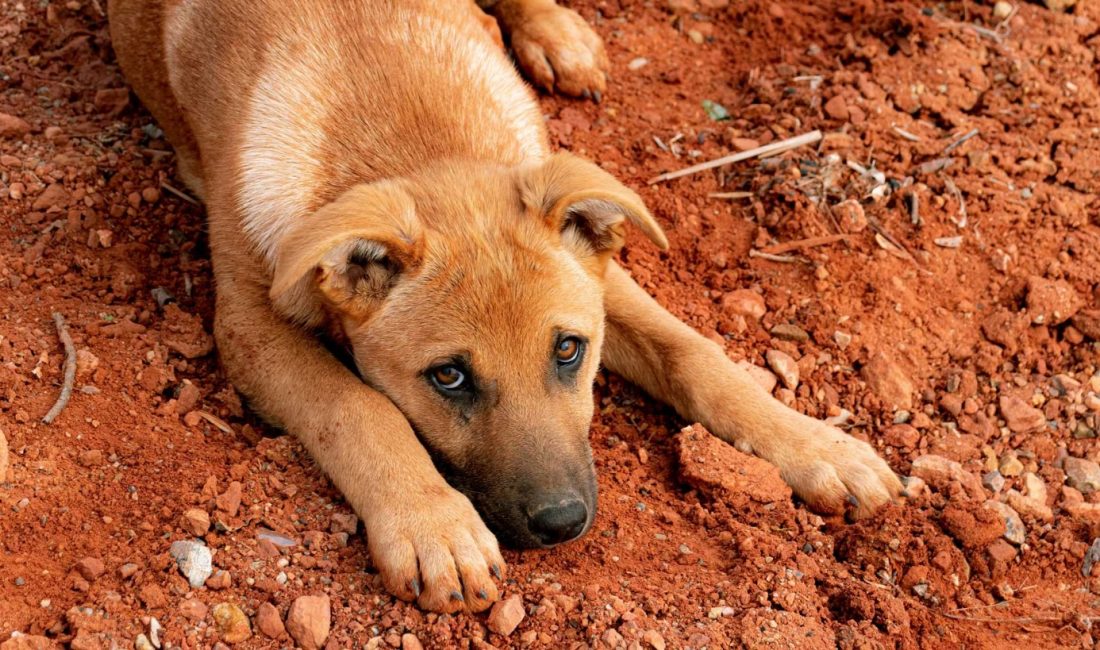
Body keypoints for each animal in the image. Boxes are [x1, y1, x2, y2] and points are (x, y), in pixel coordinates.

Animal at [109, 0, 902, 615]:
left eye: (568, 350)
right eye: (449, 377)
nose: (563, 524)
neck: (409, 134)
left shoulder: (601, 280)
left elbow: (697, 354)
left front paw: (818, 447)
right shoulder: (248, 325)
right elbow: (358, 407)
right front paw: (434, 526)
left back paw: (559, 37)